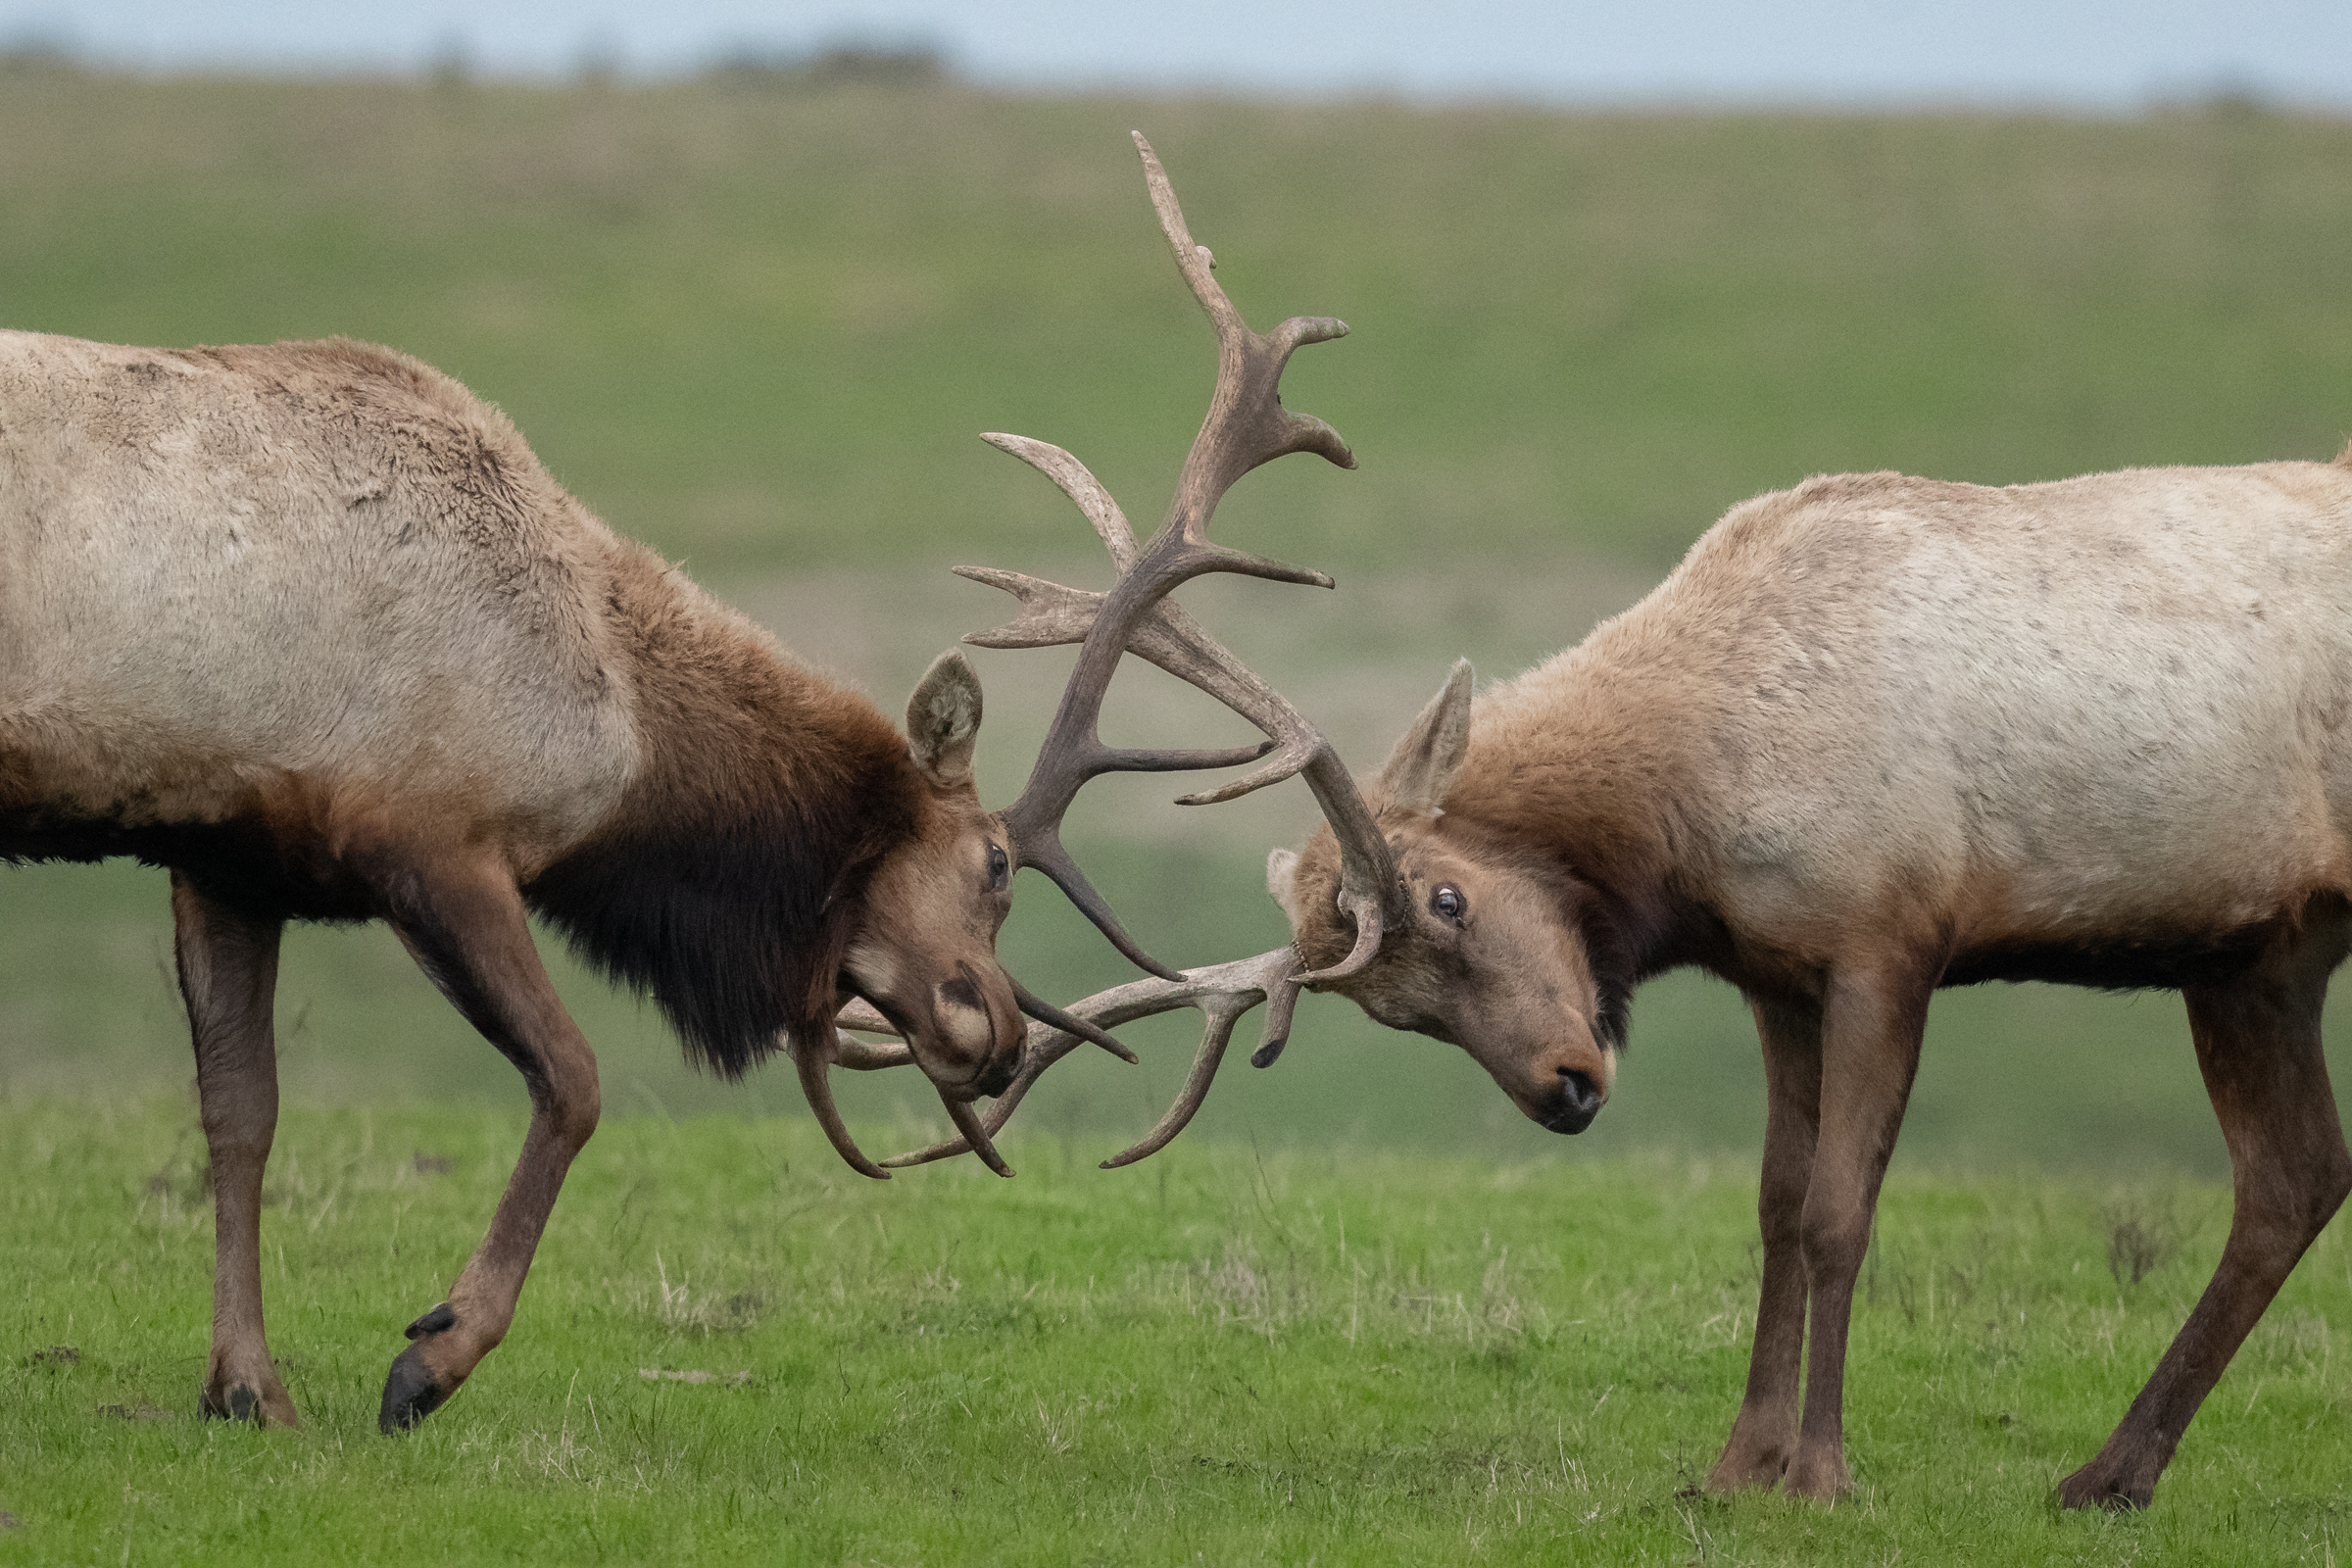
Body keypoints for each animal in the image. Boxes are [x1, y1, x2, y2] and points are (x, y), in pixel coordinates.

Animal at [0, 132, 1369, 1436]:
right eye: (990, 865)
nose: (995, 1028)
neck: (624, 729)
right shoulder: (434, 836)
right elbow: (573, 1081)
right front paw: (432, 1356)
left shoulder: (229, 847)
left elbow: (241, 1114)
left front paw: (247, 1387)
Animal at [871, 154, 2352, 1507]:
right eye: (1396, 1008)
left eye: (1450, 897)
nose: (1568, 1087)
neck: (1693, 817)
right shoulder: (1779, 971)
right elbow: (1773, 1206)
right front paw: (1737, 1466)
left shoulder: (1894, 930)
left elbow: (1839, 1209)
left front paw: (1822, 1472)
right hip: (2259, 953)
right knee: (2293, 1179)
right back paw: (2109, 1472)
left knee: (2286, 1177)